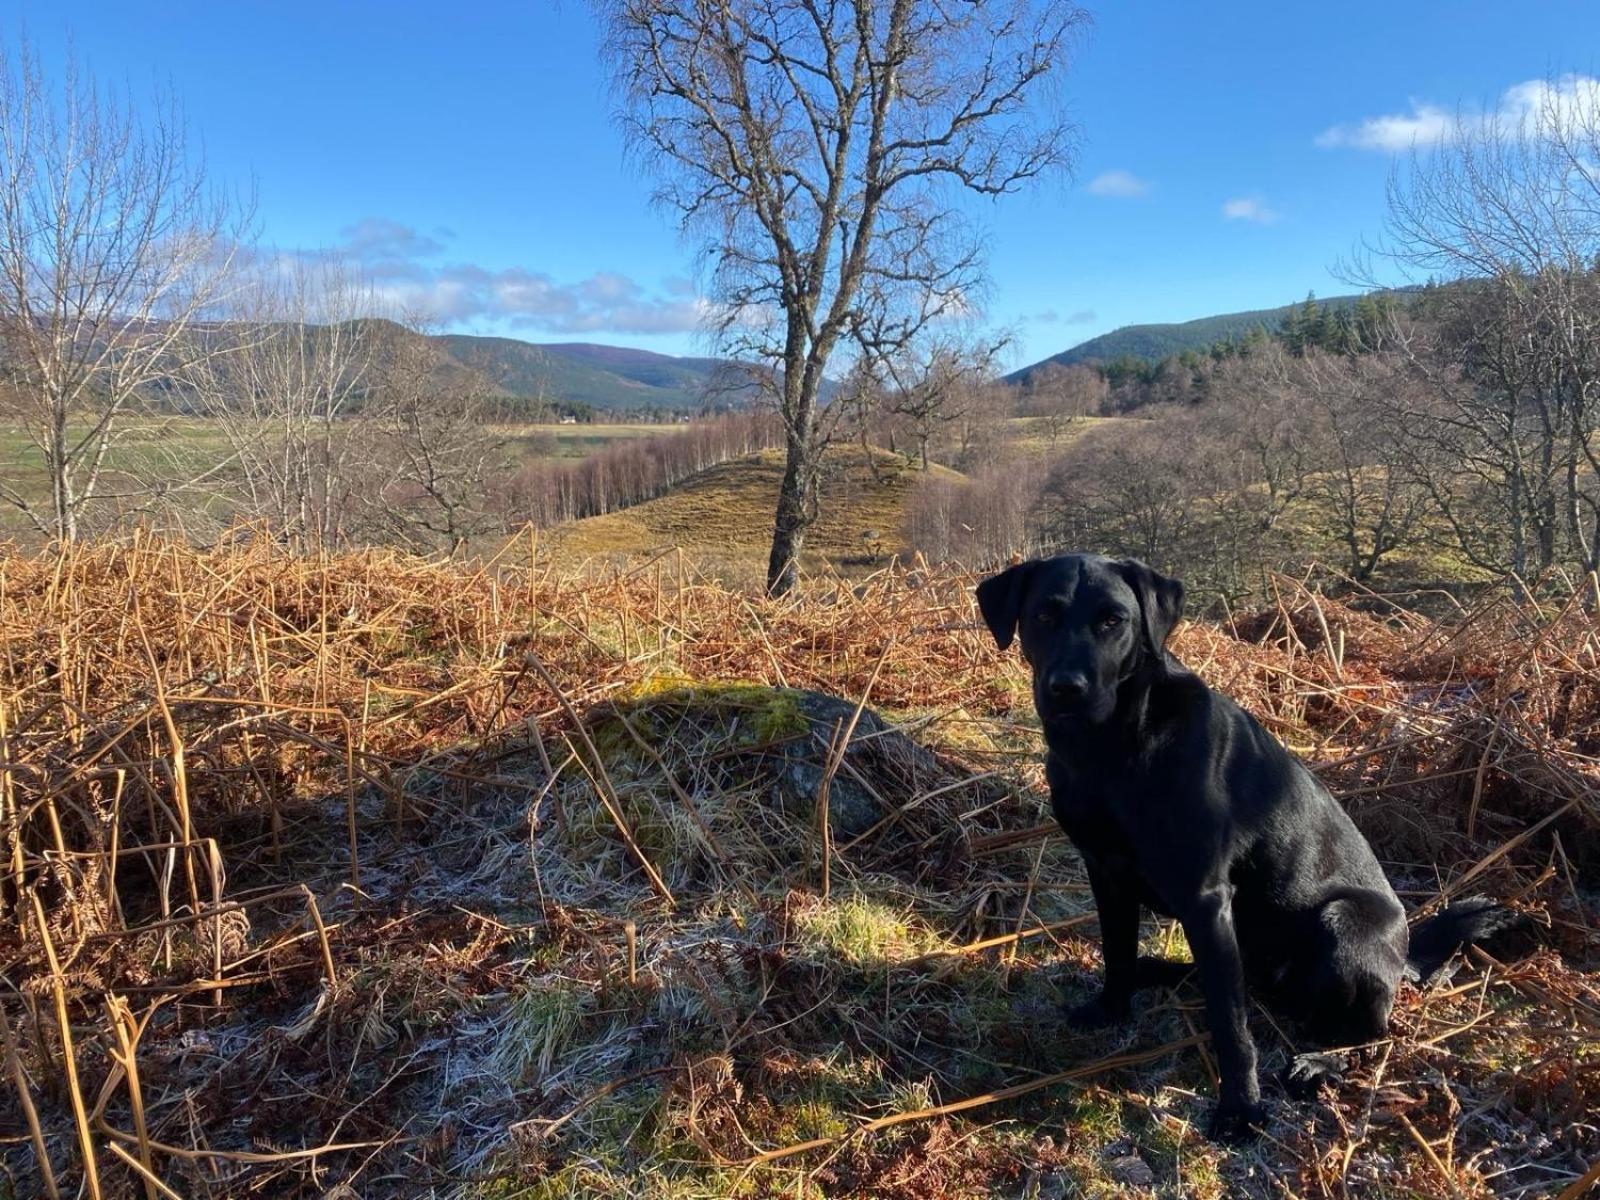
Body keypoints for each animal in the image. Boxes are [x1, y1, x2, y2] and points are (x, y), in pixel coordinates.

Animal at [972, 560, 1523, 1139]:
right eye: (1044, 615)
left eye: (1112, 620)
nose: (1066, 689)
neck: (1108, 751)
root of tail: (1405, 954)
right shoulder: (1105, 872)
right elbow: (1118, 953)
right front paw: (1111, 1009)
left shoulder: (1206, 898)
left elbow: (1230, 1023)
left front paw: (1241, 1109)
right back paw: (1159, 971)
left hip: (1342, 924)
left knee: (1370, 1033)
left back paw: (1318, 1062)